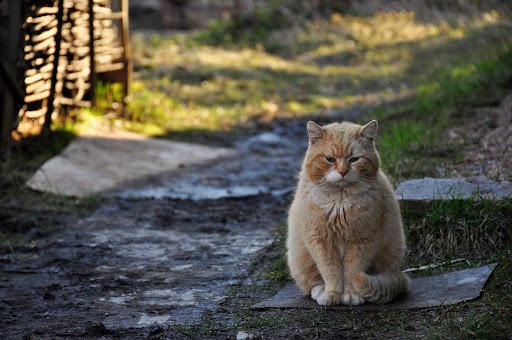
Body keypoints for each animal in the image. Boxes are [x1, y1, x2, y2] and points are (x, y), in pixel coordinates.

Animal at [286, 119, 410, 306]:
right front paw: (332, 294)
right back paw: (320, 291)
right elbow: (331, 271)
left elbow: (352, 271)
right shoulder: (320, 242)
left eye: (354, 159)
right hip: (299, 256)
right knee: (312, 283)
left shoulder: (363, 241)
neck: (339, 203)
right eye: (330, 159)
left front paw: (351, 294)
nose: (343, 172)